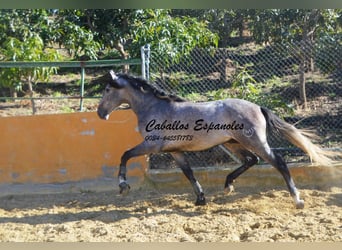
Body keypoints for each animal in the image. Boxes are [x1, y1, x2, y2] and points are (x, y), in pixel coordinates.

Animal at [97, 70, 338, 209]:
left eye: (108, 89)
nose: (100, 113)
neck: (155, 107)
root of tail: (258, 106)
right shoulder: (175, 150)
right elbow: (189, 173)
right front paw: (200, 199)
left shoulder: (151, 145)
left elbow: (125, 155)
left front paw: (123, 186)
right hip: (233, 143)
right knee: (251, 160)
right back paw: (227, 186)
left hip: (254, 142)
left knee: (278, 162)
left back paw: (297, 200)